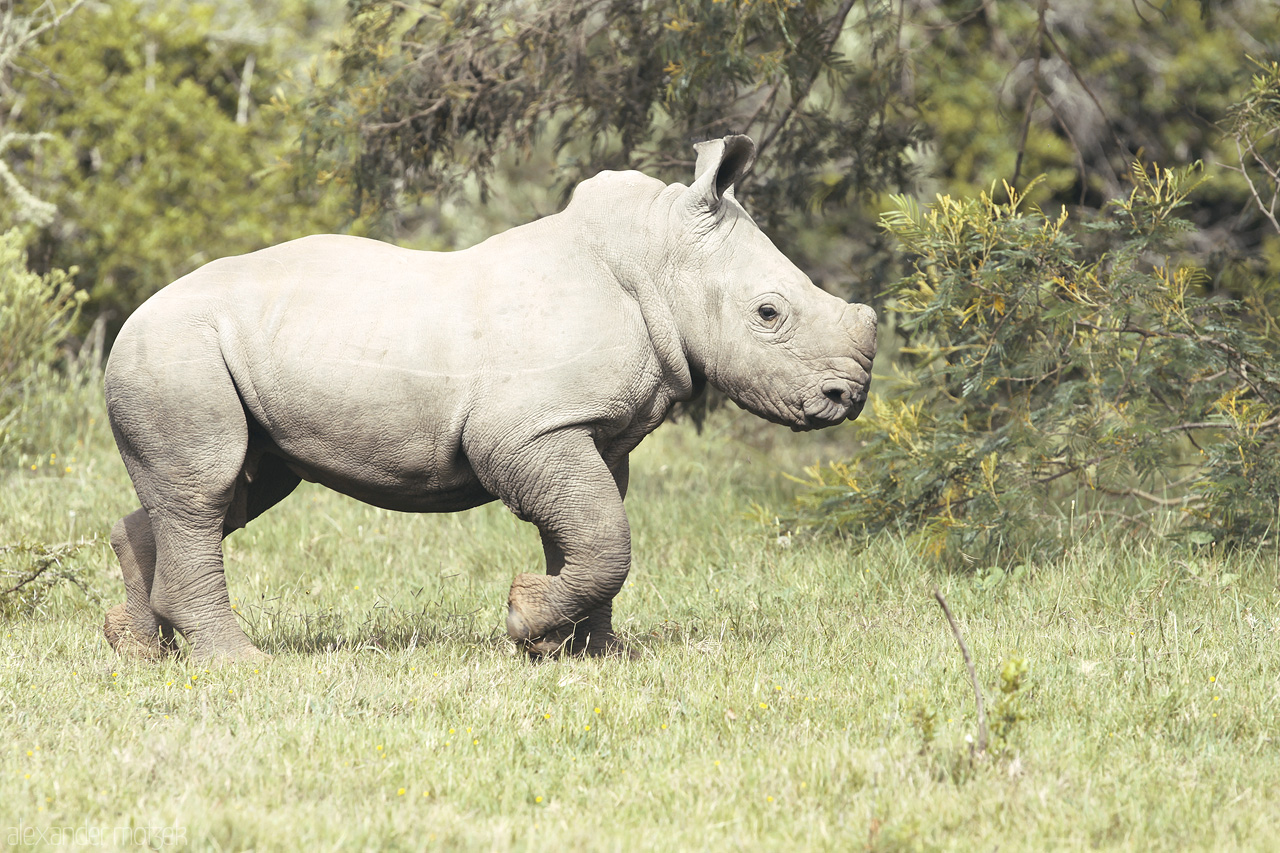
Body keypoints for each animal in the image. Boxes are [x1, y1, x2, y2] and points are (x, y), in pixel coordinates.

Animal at [104, 136, 875, 660]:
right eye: (769, 313)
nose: (848, 395)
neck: (658, 259)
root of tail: (127, 324)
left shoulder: (585, 430)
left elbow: (590, 530)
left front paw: (588, 652)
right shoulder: (528, 429)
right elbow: (604, 536)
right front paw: (525, 620)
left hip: (201, 358)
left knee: (234, 491)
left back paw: (138, 650)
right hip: (175, 353)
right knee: (208, 490)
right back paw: (242, 664)